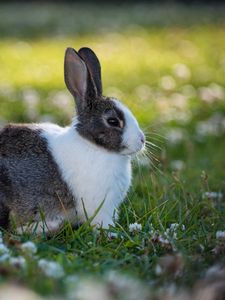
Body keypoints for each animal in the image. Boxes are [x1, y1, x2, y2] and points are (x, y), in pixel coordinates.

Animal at [0, 47, 145, 234]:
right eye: (113, 121)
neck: (93, 145)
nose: (142, 140)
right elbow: (102, 223)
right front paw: (112, 233)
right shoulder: (100, 207)